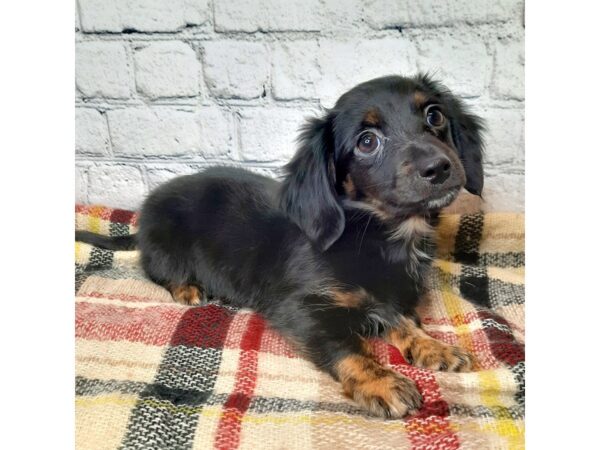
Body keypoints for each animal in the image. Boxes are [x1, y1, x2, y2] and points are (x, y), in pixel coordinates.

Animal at [77, 74, 486, 418]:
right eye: (367, 141)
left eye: (434, 115)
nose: (439, 167)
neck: (379, 237)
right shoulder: (297, 309)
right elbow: (346, 346)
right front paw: (381, 381)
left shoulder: (387, 298)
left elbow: (401, 320)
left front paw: (433, 347)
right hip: (166, 248)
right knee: (157, 270)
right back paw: (188, 288)